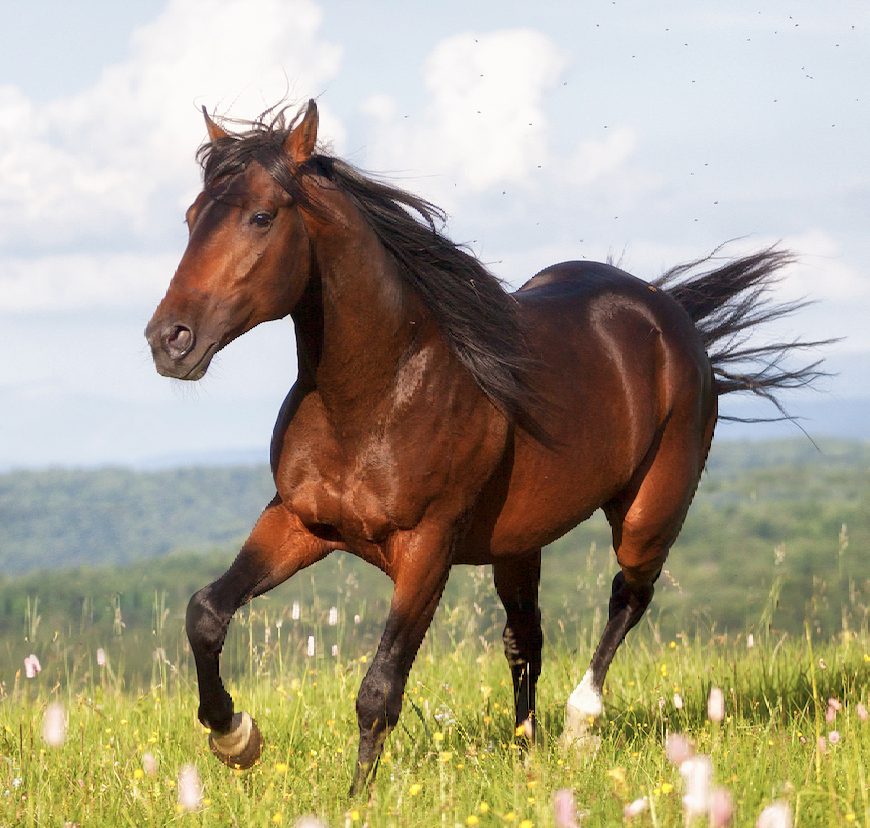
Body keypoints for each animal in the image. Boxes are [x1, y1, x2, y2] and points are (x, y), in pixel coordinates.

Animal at [145, 99, 827, 796]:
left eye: (261, 216)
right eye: (193, 217)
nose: (169, 340)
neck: (376, 394)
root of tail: (670, 315)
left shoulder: (427, 548)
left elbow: (379, 689)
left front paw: (356, 799)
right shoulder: (298, 521)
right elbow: (206, 612)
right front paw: (235, 737)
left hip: (648, 515)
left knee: (630, 595)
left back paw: (579, 724)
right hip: (518, 543)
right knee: (525, 638)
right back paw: (527, 748)